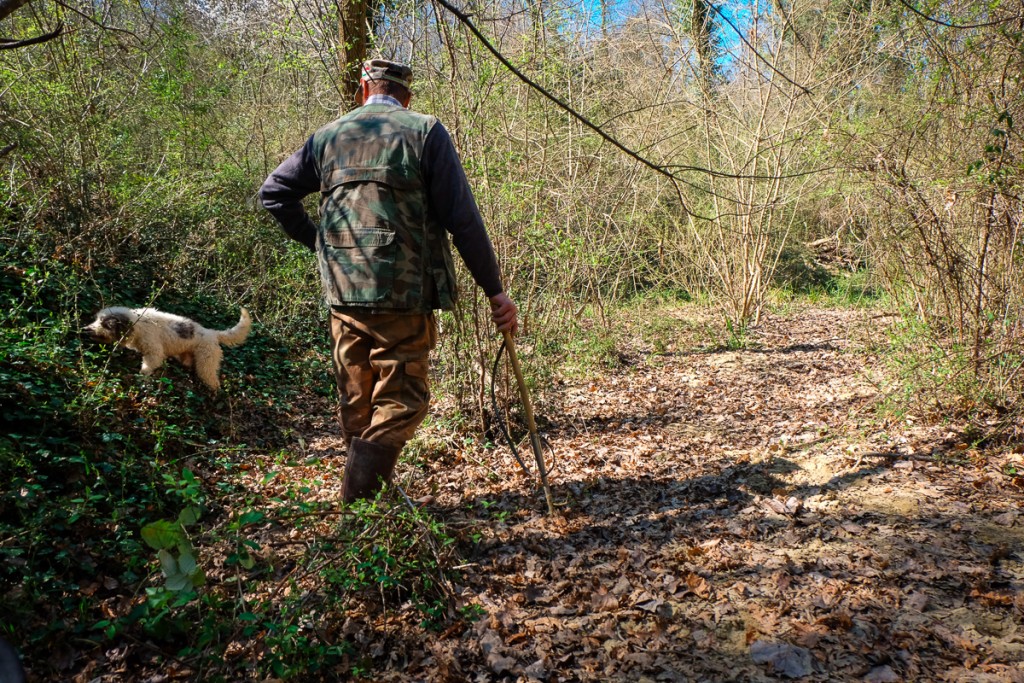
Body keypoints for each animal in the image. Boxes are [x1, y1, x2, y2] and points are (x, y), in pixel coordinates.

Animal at [86, 307, 249, 393]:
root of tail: (213, 333)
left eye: (105, 323)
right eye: (97, 319)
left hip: (206, 363)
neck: (136, 324)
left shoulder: (154, 353)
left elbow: (146, 368)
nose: (86, 329)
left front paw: (142, 380)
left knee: (212, 380)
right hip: (188, 358)